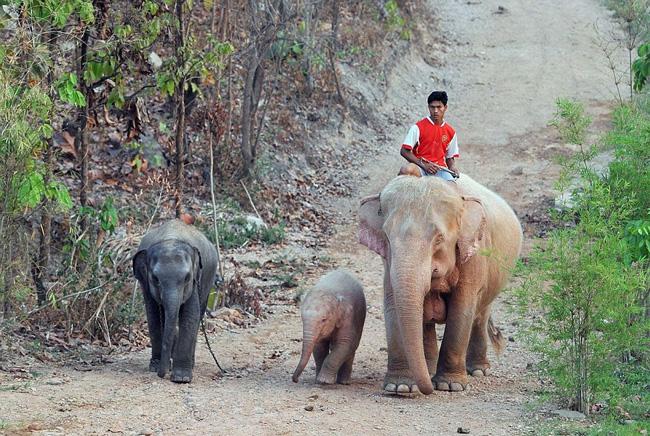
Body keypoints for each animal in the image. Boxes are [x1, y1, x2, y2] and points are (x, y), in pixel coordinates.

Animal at [132, 218, 218, 382]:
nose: (161, 374)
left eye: (187, 278)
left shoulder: (195, 281)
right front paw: (155, 367)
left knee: (199, 314)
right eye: (155, 279)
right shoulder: (145, 284)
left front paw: (181, 378)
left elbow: (190, 315)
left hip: (208, 279)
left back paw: (190, 364)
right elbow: (153, 316)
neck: (170, 240)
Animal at [356, 175, 520, 396]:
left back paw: (477, 370)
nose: (427, 390)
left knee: (480, 316)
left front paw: (449, 386)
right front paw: (400, 387)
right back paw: (430, 369)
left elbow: (461, 309)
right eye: (387, 237)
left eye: (439, 238)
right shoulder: (389, 264)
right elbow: (393, 305)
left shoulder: (474, 257)